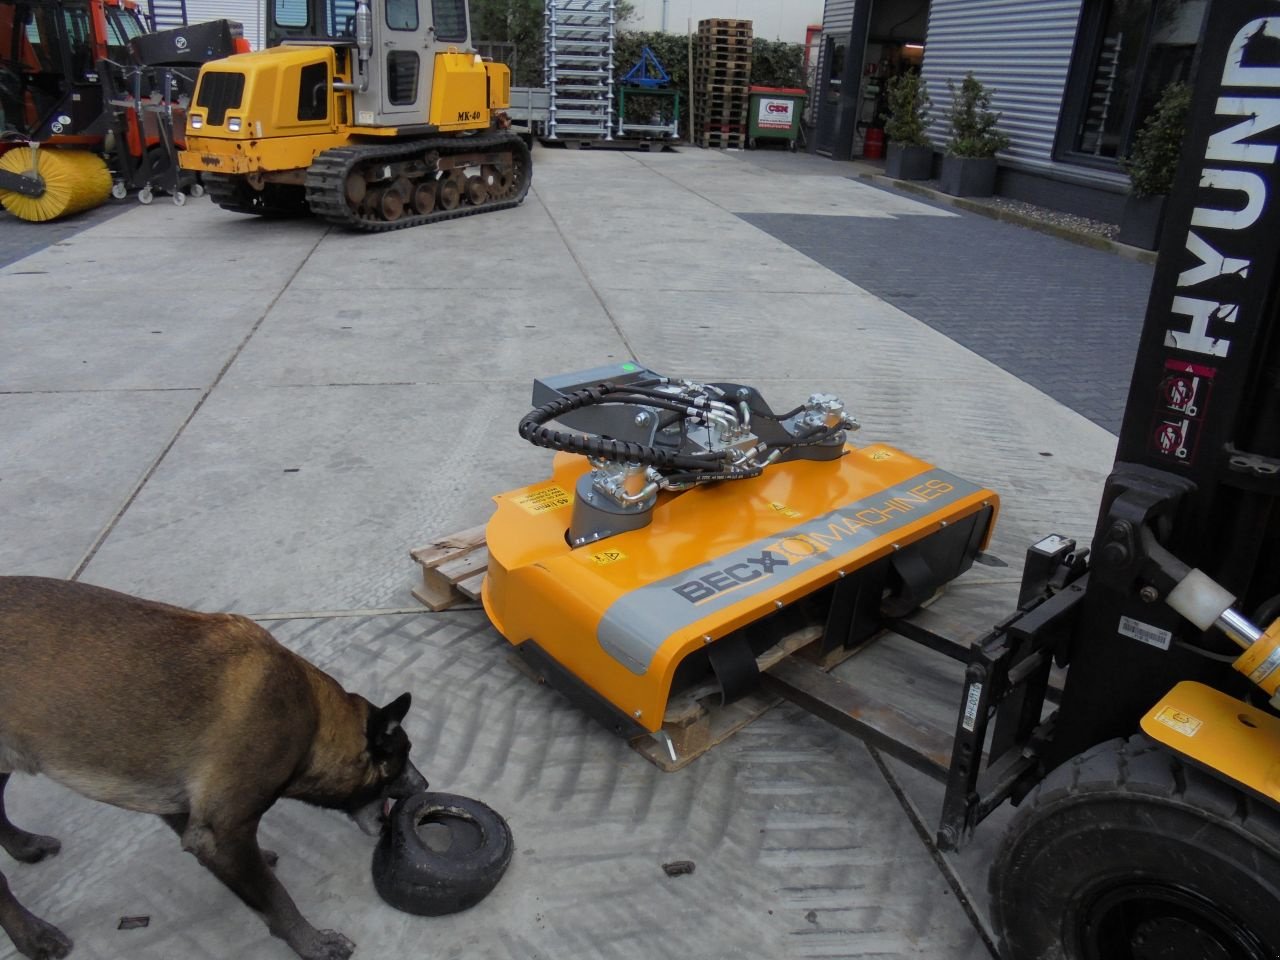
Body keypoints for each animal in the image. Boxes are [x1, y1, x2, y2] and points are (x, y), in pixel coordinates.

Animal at [0, 576, 430, 957]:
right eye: (401, 756)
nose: (425, 785)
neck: (312, 717)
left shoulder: (189, 812)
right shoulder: (220, 835)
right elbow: (275, 898)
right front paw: (311, 943)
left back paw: (24, 845)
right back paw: (33, 936)